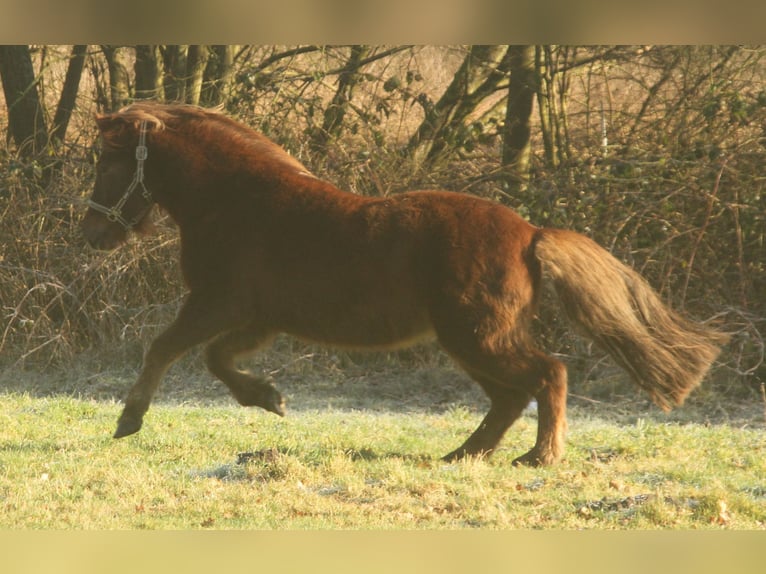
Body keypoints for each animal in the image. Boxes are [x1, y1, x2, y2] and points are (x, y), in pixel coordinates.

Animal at [81, 101, 728, 466]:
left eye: (108, 163)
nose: (94, 233)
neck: (236, 201)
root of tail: (530, 233)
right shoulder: (255, 319)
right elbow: (216, 360)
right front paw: (270, 399)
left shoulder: (217, 303)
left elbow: (166, 347)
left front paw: (127, 421)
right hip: (466, 340)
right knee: (509, 396)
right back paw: (462, 455)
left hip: (477, 335)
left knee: (547, 375)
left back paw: (539, 459)